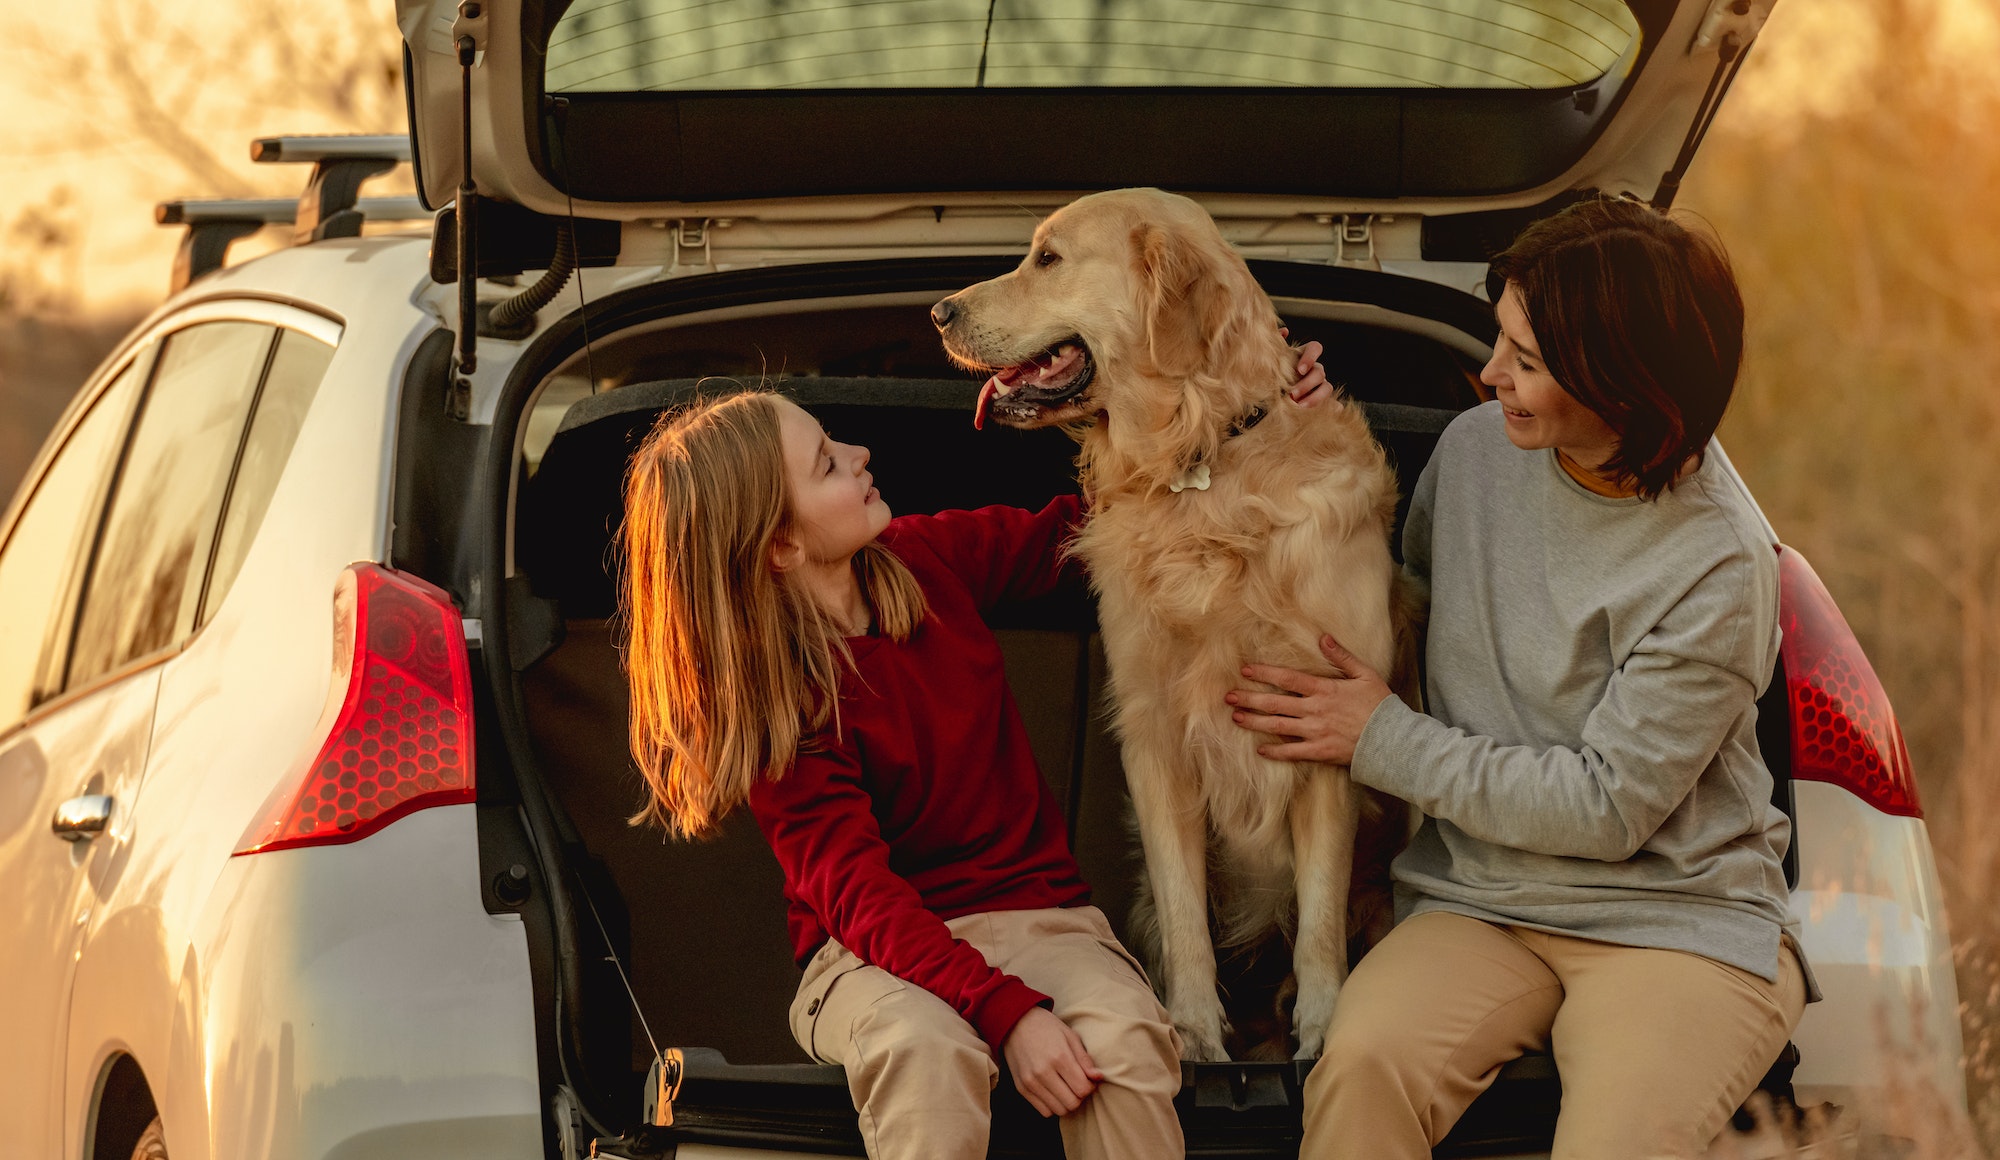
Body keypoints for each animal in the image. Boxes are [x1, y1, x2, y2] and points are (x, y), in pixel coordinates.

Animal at [924, 188, 1408, 1064]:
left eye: (1048, 258)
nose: (939, 312)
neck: (1204, 461)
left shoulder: (1326, 728)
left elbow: (1321, 920)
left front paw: (1323, 1026)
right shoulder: (1154, 732)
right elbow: (1187, 918)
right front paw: (1192, 1033)